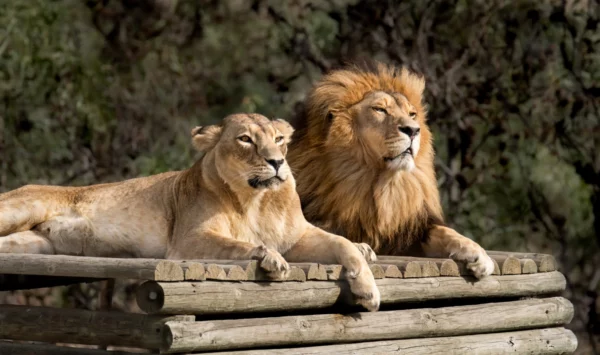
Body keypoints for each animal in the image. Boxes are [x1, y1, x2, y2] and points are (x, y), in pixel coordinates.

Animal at [1, 114, 380, 312]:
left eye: (279, 139)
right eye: (246, 139)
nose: (277, 162)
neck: (255, 201)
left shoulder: (299, 237)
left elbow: (342, 243)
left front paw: (367, 288)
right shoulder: (187, 241)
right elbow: (237, 245)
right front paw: (268, 256)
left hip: (33, 242)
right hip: (22, 207)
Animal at [288, 64, 494, 280]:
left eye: (412, 114)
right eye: (380, 109)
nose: (413, 130)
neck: (381, 185)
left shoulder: (409, 231)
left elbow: (446, 232)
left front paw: (479, 255)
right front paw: (359, 247)